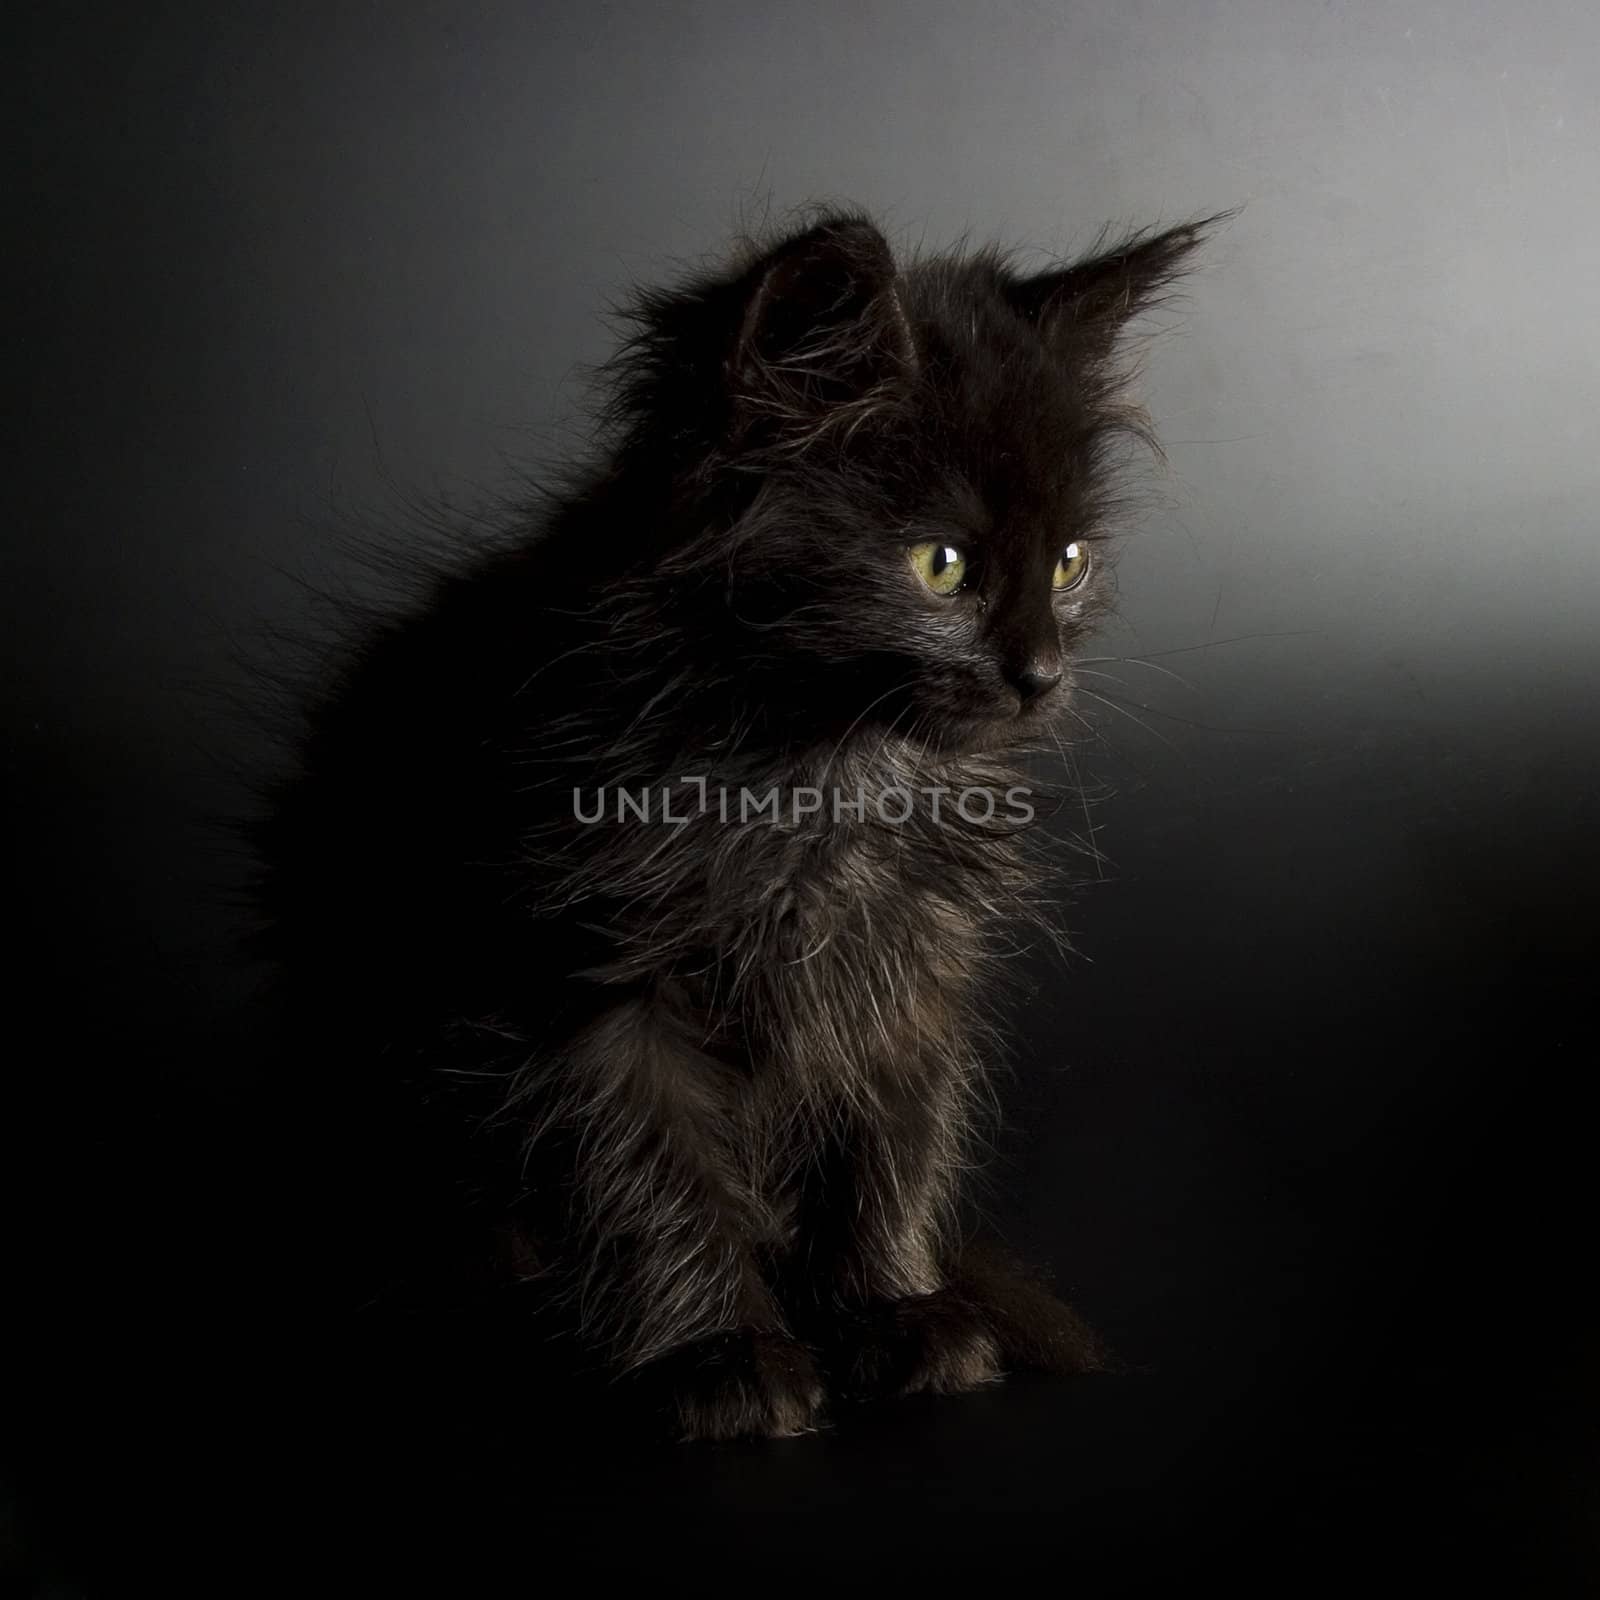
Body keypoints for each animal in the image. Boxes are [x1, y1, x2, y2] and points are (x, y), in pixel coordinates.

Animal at [259, 203, 1209, 1440]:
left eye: (1068, 564)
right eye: (939, 564)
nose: (1039, 674)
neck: (814, 767)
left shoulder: (901, 971)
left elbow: (888, 1146)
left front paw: (893, 1316)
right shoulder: (585, 987)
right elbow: (649, 1176)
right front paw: (720, 1355)